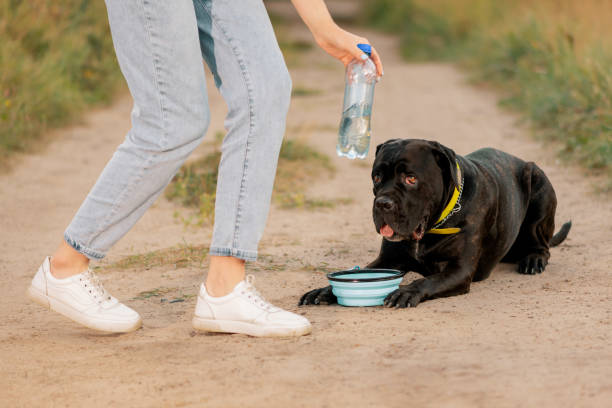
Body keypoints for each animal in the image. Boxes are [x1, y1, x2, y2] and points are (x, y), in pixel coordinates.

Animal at [298, 139, 572, 308]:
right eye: (376, 177)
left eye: (410, 178)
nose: (382, 203)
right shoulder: (387, 260)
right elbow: (358, 271)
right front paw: (324, 291)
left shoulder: (459, 270)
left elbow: (427, 280)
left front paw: (407, 291)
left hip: (539, 186)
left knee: (542, 245)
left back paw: (533, 260)